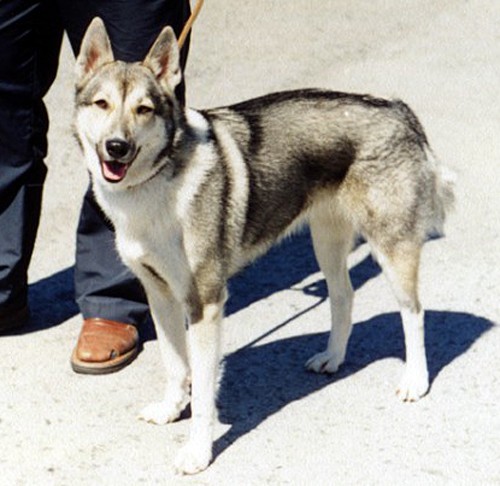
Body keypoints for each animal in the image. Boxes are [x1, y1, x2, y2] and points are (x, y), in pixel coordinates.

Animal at [74, 18, 455, 474]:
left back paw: (415, 381)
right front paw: (170, 409)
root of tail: (399, 110)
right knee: (343, 296)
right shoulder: (160, 296)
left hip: (391, 247)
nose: (117, 147)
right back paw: (333, 358)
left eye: (143, 109)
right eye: (101, 104)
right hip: (326, 243)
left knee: (413, 313)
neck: (155, 185)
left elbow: (204, 392)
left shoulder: (204, 304)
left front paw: (197, 451)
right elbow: (174, 364)